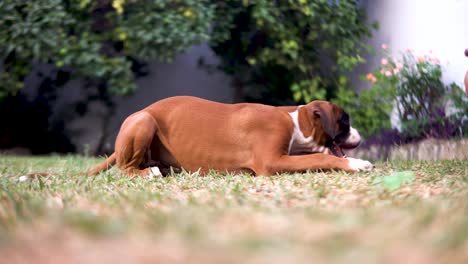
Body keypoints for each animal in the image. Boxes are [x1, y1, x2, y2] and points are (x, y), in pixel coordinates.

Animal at [84, 95, 374, 177]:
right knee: (125, 168)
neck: (294, 121)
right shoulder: (272, 162)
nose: (360, 134)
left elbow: (315, 156)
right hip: (144, 121)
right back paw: (148, 173)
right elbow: (320, 158)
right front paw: (357, 163)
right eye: (345, 121)